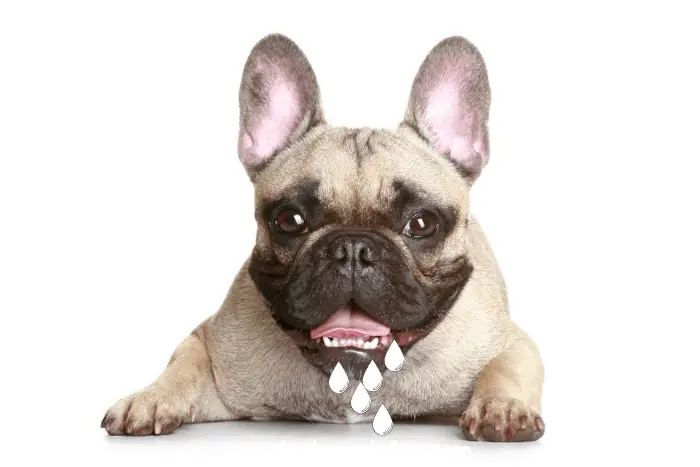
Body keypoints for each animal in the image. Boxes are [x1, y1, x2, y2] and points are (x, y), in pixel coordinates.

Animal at [100, 33, 548, 442]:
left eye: (421, 224)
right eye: (289, 219)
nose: (352, 248)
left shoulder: (510, 342)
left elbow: (504, 367)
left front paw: (502, 407)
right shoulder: (213, 348)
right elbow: (184, 364)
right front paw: (151, 398)